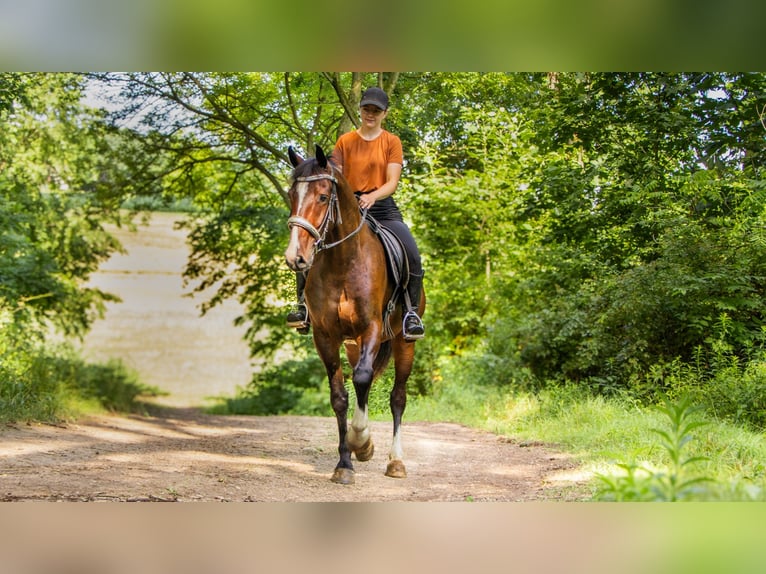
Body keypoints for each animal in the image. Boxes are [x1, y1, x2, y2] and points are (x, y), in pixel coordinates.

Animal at [284, 144, 426, 486]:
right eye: (292, 194)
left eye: (323, 196)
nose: (296, 257)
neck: (342, 260)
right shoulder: (326, 336)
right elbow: (341, 396)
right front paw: (346, 462)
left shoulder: (371, 328)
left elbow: (362, 379)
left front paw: (360, 440)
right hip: (352, 346)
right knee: (367, 383)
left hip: (403, 342)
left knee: (397, 396)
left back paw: (395, 461)